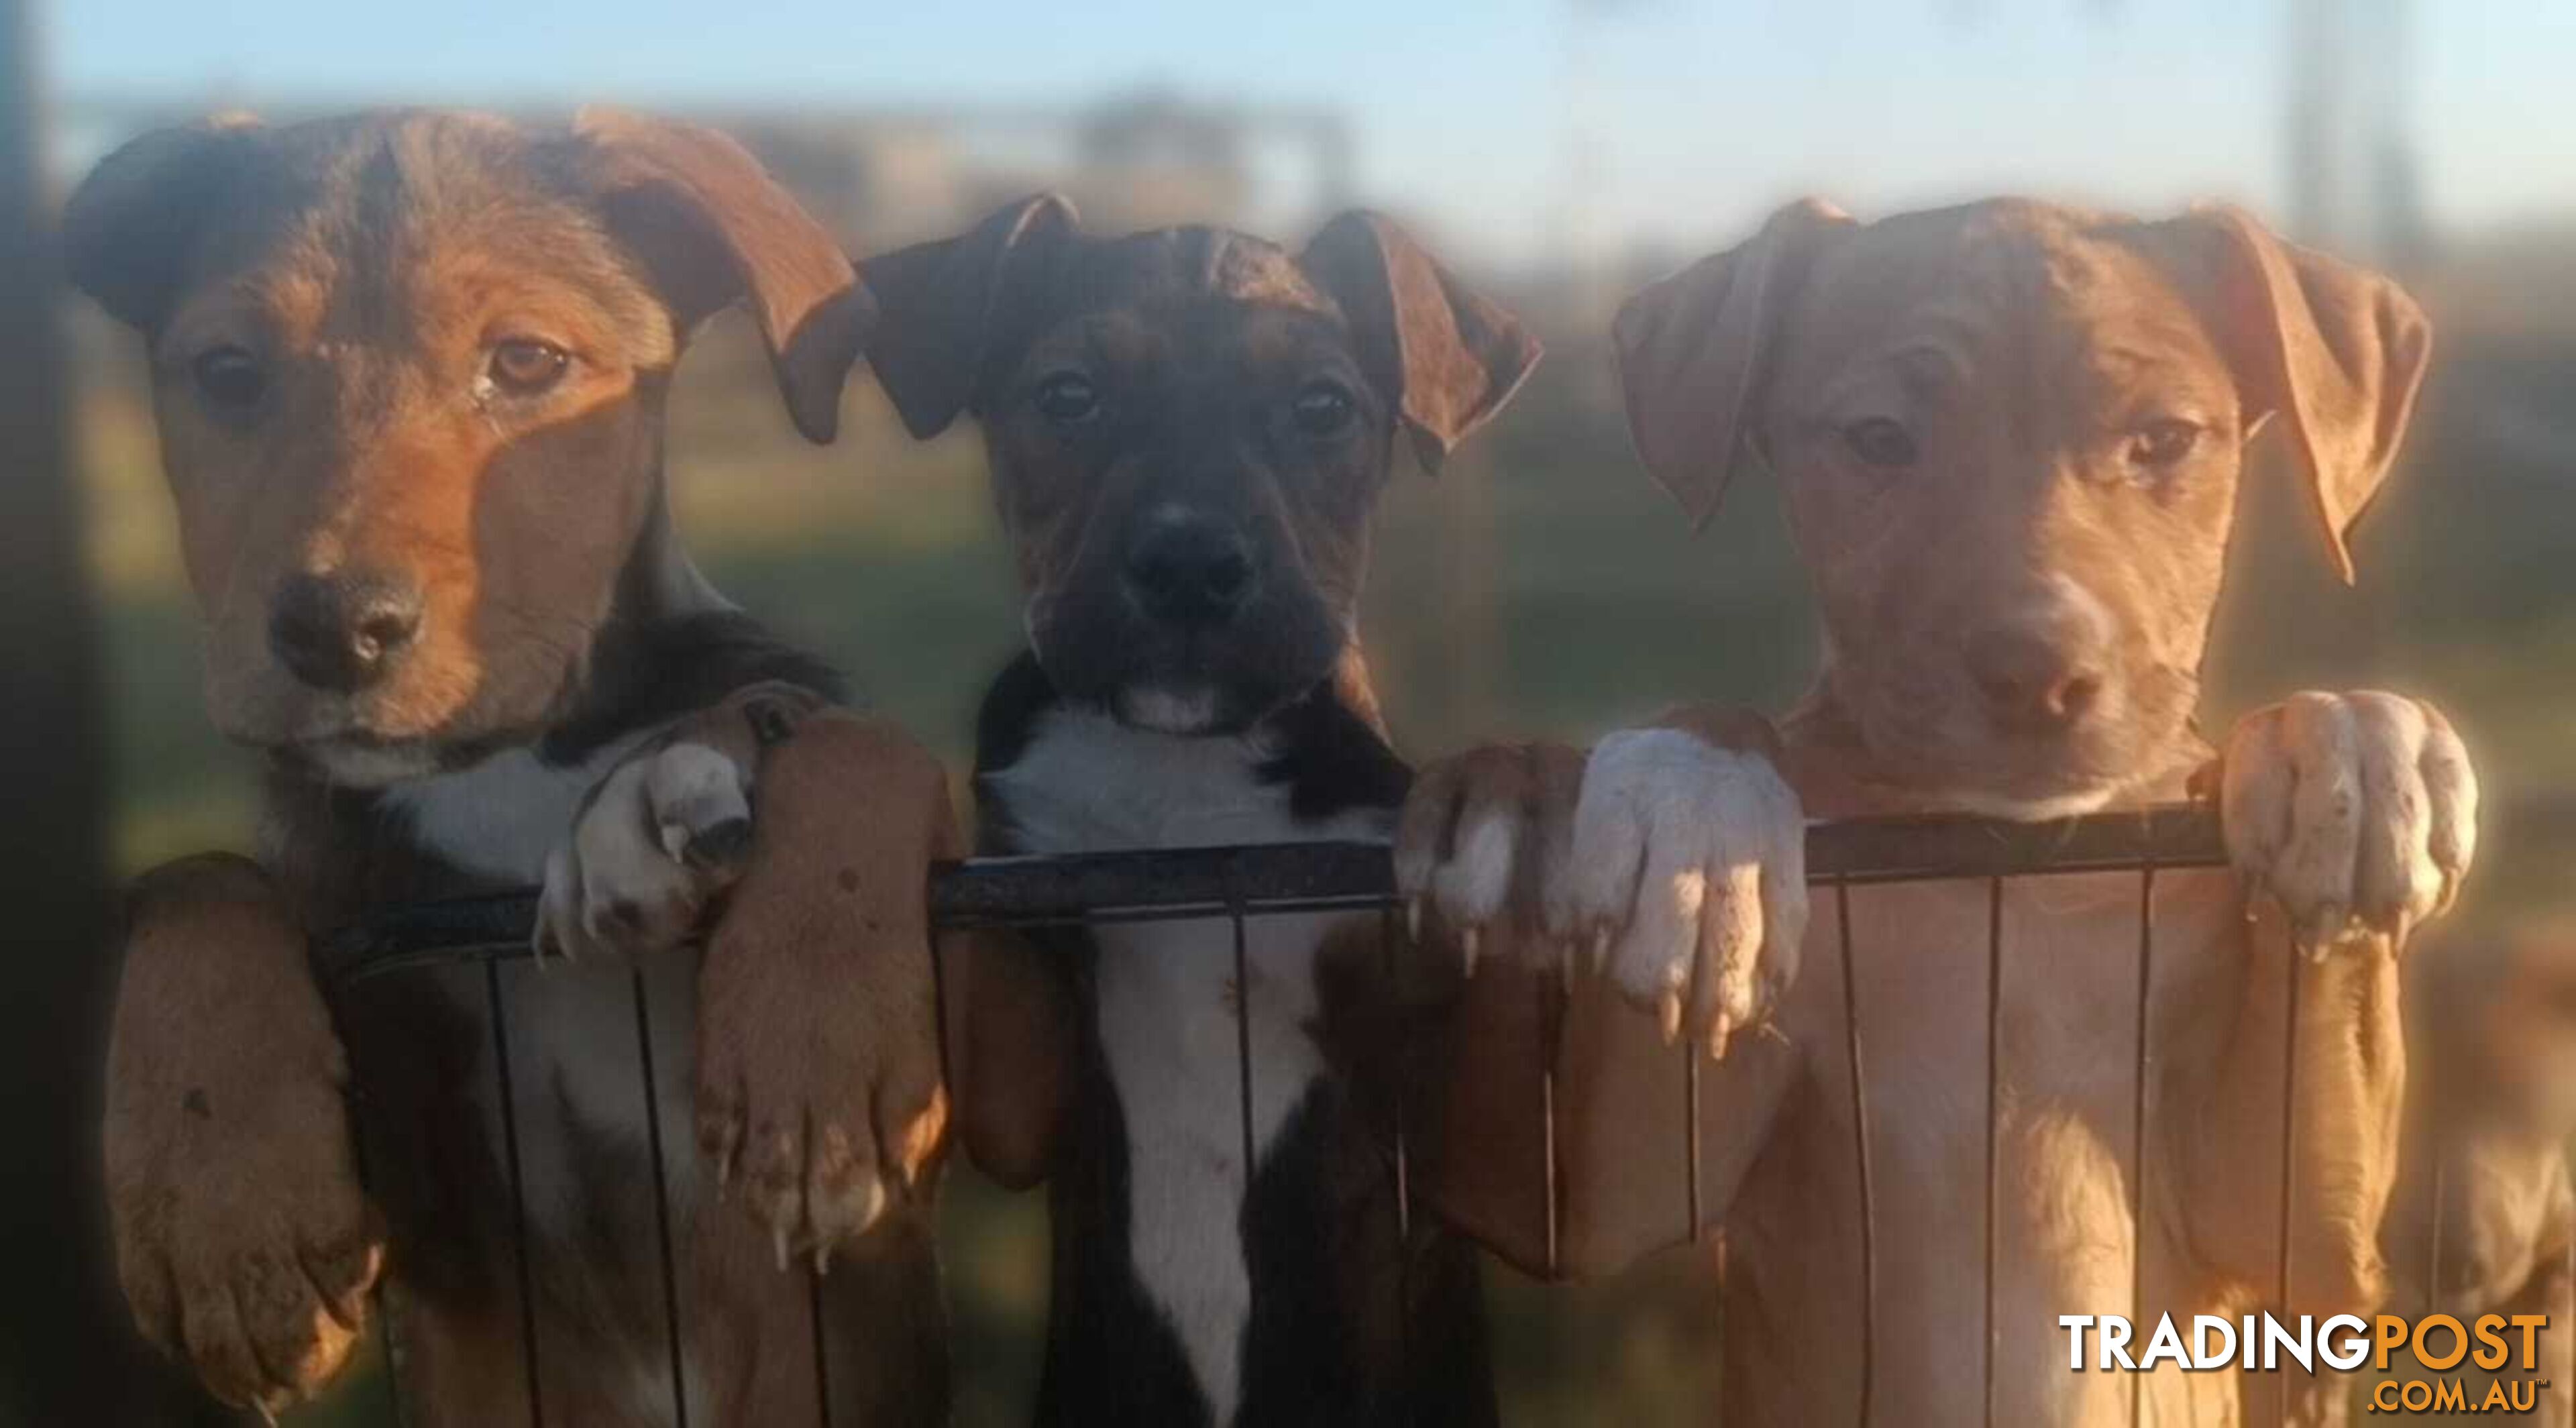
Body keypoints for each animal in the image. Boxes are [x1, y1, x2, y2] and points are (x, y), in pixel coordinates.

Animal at [75, 114, 958, 1423]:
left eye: (530, 363)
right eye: (228, 373)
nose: (335, 630)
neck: (499, 767)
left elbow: (855, 737)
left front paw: (816, 1026)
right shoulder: (442, 1222)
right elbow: (198, 878)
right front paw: (225, 1202)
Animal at [865, 197, 1535, 1423]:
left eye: (1323, 408)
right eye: (1068, 396)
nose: (1188, 562)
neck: (1181, 769)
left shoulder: (1463, 1137)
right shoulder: (1023, 1082)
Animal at [1401, 197, 2483, 1412]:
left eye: (2164, 441)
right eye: (1878, 439)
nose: (2038, 671)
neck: (2004, 864)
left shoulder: (2288, 1230)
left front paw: (2345, 743)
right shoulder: (1617, 1183)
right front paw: (1699, 806)